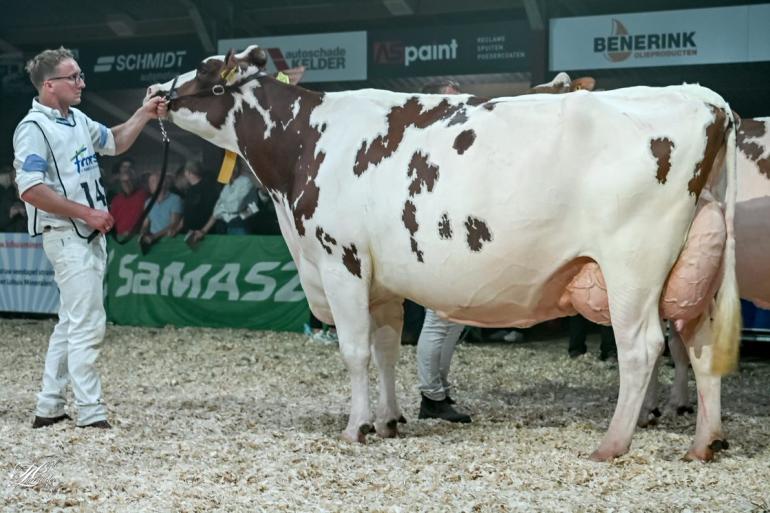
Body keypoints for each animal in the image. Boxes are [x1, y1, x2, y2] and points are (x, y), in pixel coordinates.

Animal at [144, 45, 736, 460]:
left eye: (203, 72)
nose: (153, 89)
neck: (305, 145)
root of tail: (703, 97)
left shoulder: (341, 261)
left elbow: (355, 351)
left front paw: (355, 427)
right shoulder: (380, 280)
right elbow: (386, 349)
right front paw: (388, 420)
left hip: (633, 265)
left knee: (641, 349)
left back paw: (612, 444)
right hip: (697, 265)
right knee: (701, 345)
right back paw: (703, 442)